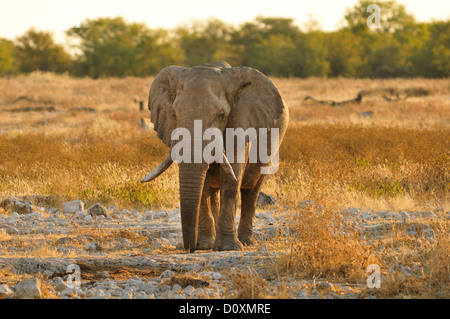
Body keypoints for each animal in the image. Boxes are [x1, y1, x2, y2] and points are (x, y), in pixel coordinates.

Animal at [141, 62, 288, 252]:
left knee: (251, 191)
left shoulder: (240, 124)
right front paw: (204, 246)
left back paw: (246, 242)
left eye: (221, 115)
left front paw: (227, 247)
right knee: (214, 192)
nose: (189, 247)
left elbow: (231, 178)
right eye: (174, 114)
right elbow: (203, 186)